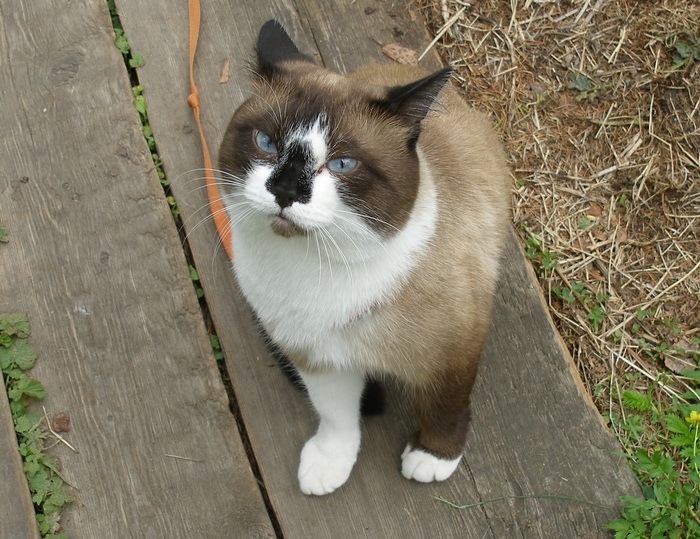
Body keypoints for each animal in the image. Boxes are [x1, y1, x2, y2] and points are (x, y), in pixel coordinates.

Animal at [216, 19, 512, 496]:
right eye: (266, 142)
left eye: (342, 165)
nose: (285, 190)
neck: (314, 270)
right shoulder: (316, 358)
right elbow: (336, 418)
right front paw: (329, 465)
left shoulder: (453, 350)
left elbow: (445, 404)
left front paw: (433, 457)